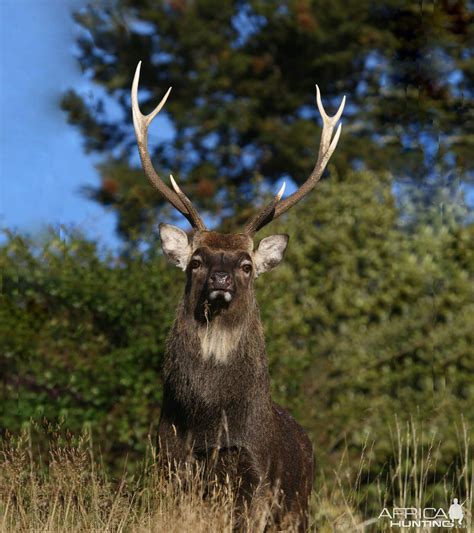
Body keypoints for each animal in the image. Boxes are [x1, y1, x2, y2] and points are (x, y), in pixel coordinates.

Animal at [130, 61, 344, 528]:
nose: (222, 278)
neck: (212, 423)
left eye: (247, 265)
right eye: (196, 260)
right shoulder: (171, 463)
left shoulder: (256, 475)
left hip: (298, 509)